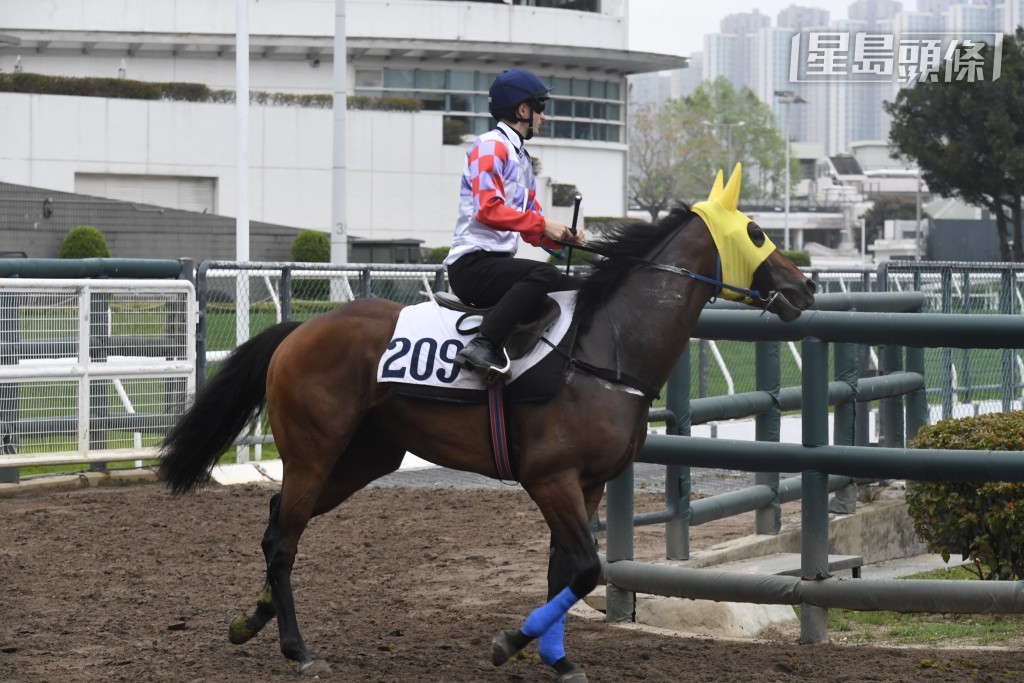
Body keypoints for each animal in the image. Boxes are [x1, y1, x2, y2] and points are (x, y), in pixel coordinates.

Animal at [159, 163, 815, 679]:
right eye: (757, 231)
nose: (804, 287)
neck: (603, 348)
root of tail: (301, 329)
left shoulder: (589, 483)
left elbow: (565, 572)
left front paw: (555, 657)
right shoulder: (550, 477)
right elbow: (584, 569)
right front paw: (511, 642)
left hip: (364, 457)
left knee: (279, 523)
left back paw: (252, 620)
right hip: (315, 451)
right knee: (282, 538)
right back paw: (298, 649)